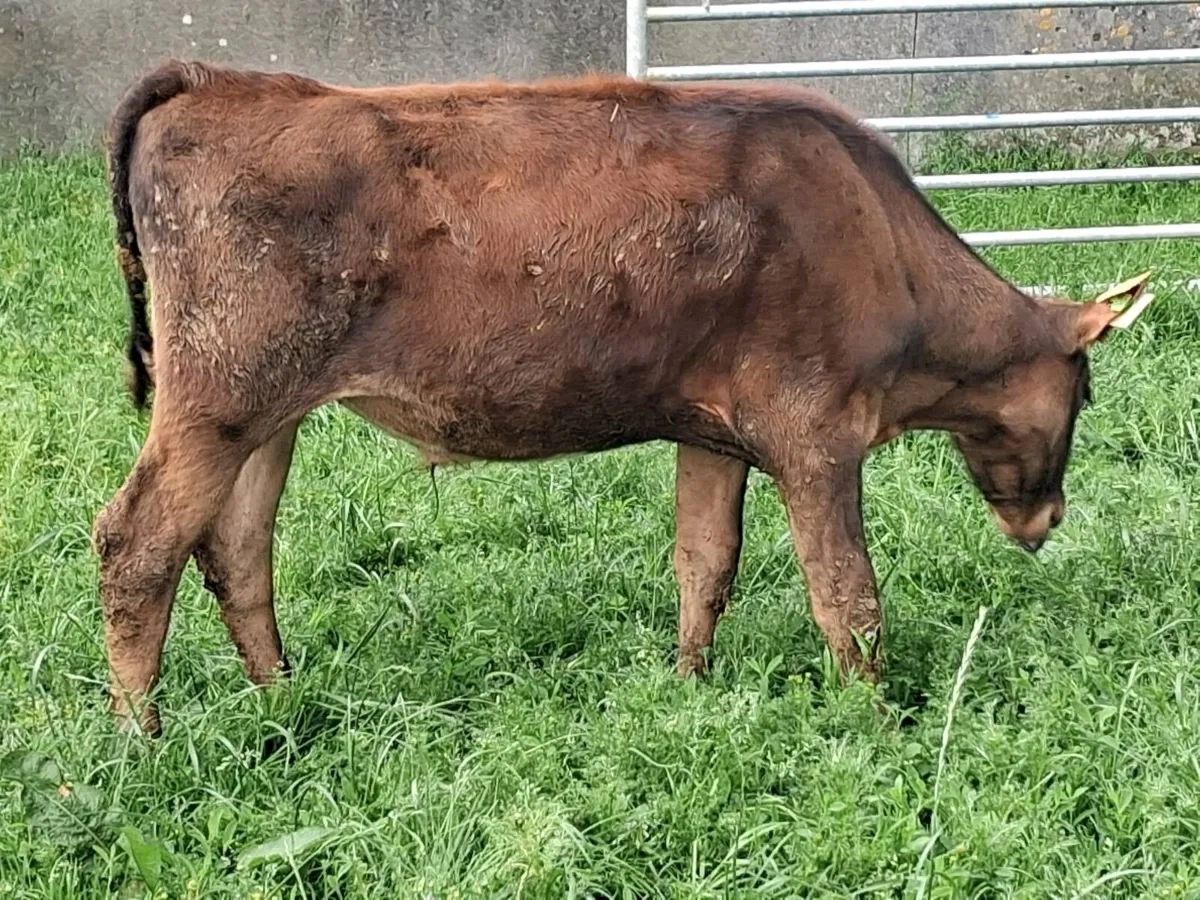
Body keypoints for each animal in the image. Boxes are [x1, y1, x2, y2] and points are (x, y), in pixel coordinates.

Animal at [94, 60, 1152, 734]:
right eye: (1086, 394)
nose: (1048, 517)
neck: (884, 246)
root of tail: (218, 82)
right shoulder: (816, 432)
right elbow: (846, 595)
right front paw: (874, 721)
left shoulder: (717, 431)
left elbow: (704, 562)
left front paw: (689, 684)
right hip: (217, 399)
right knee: (137, 546)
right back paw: (141, 739)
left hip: (264, 414)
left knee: (235, 550)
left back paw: (281, 699)